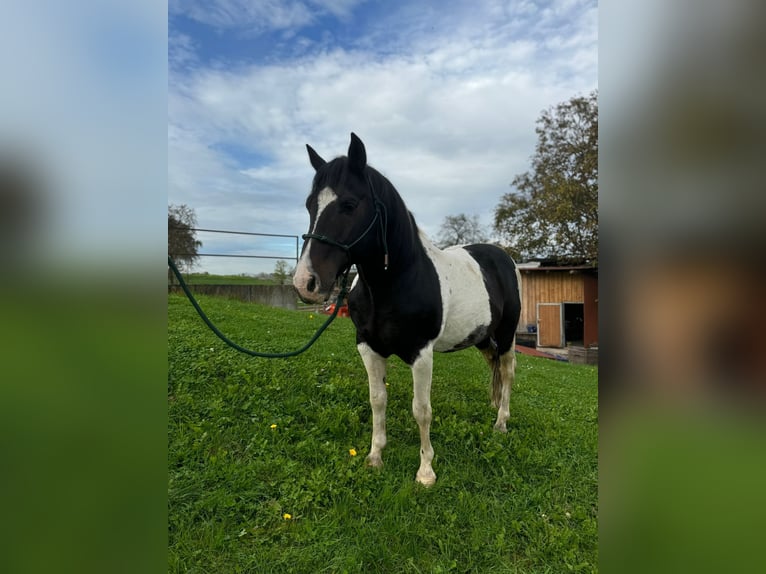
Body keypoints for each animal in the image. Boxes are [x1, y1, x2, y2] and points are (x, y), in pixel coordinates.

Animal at [294, 132, 520, 486]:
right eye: (309, 205)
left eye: (349, 205)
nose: (306, 282)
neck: (396, 282)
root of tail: (504, 258)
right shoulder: (368, 347)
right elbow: (377, 400)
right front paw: (375, 457)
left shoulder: (421, 353)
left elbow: (421, 410)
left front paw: (426, 471)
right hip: (483, 337)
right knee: (493, 365)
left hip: (508, 332)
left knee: (507, 370)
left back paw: (500, 422)